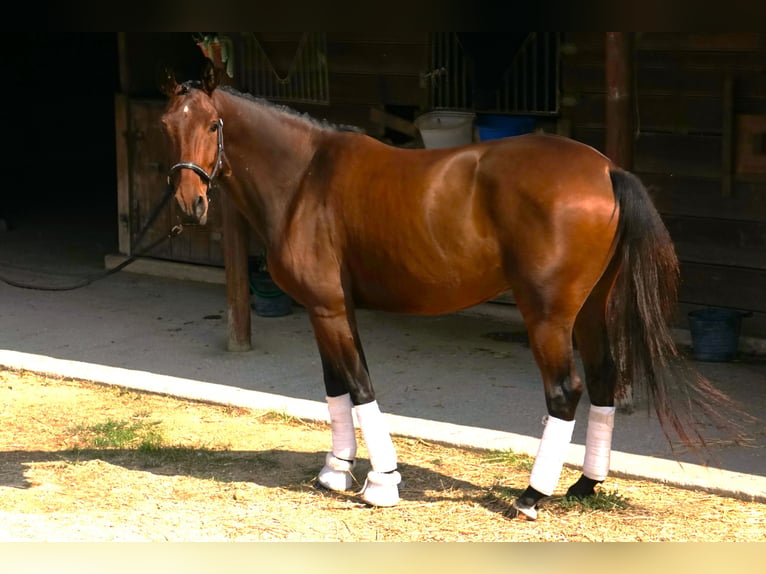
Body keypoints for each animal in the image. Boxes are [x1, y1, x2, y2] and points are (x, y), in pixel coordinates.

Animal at [158, 63, 747, 520]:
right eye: (167, 125)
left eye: (213, 123)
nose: (190, 204)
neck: (306, 177)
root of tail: (606, 170)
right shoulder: (328, 310)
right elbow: (336, 386)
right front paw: (336, 470)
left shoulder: (327, 308)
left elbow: (360, 386)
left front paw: (382, 484)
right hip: (591, 311)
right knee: (605, 380)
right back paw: (584, 486)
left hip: (548, 316)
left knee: (565, 391)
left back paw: (532, 496)